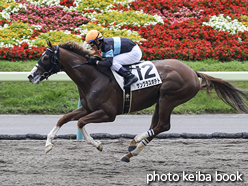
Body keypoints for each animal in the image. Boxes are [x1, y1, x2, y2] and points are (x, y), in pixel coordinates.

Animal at [27, 40, 248, 161]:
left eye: (45, 58)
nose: (30, 76)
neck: (93, 77)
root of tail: (193, 72)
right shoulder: (88, 108)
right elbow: (63, 118)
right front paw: (48, 144)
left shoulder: (108, 114)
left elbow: (80, 123)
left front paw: (98, 144)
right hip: (160, 100)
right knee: (156, 125)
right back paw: (133, 146)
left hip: (169, 97)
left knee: (162, 126)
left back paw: (133, 147)